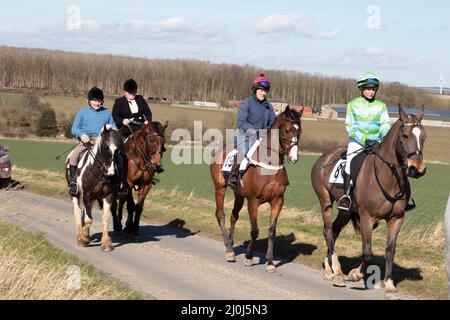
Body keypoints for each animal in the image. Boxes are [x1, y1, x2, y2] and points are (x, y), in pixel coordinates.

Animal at [210, 106, 302, 272]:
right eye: (286, 130)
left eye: (299, 131)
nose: (293, 158)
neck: (269, 166)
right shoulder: (253, 201)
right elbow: (254, 231)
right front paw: (249, 257)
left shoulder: (278, 201)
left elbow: (272, 231)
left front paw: (270, 262)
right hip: (220, 188)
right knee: (220, 215)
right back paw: (229, 250)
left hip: (238, 195)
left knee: (233, 216)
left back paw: (231, 246)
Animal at [312, 105, 428, 298]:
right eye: (405, 136)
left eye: (424, 136)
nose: (417, 168)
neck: (389, 178)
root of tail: (324, 156)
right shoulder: (367, 217)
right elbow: (367, 251)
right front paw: (356, 274)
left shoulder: (396, 219)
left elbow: (390, 251)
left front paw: (389, 284)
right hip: (325, 202)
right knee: (328, 231)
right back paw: (335, 272)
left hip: (346, 211)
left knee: (333, 231)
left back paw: (332, 268)